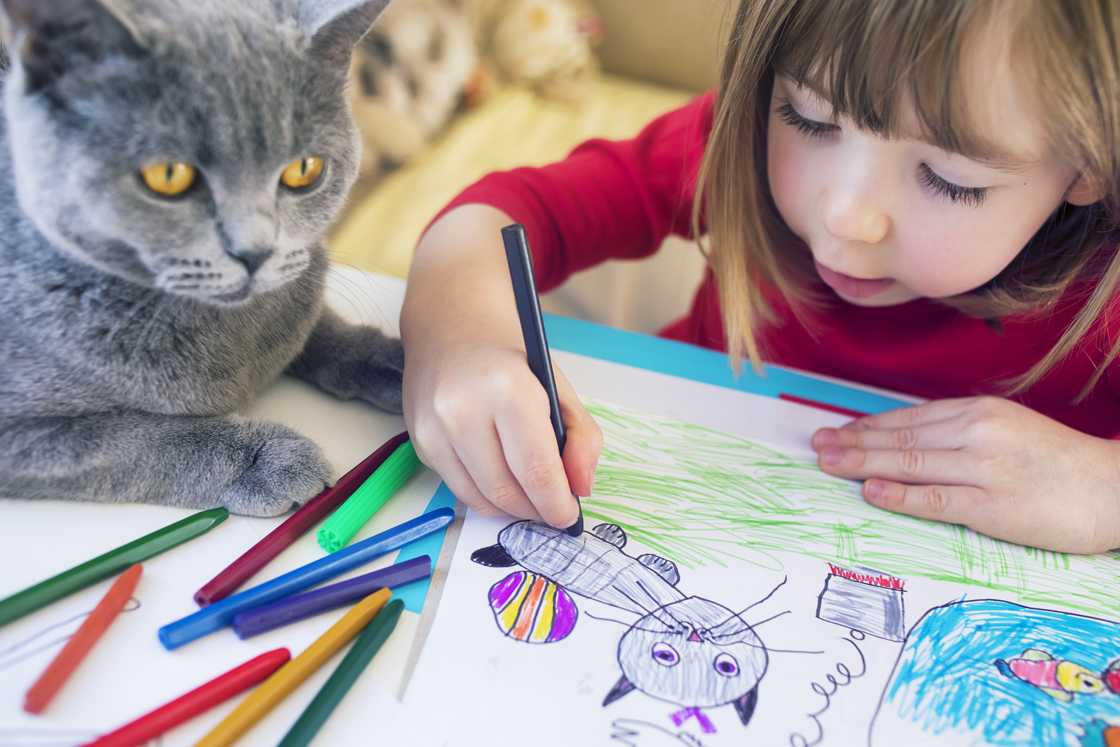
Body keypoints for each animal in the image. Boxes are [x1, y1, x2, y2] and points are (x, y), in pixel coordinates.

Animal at [0, 0, 407, 515]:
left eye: (304, 169)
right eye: (168, 175)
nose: (254, 251)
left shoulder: (298, 286)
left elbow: (321, 329)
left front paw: (398, 365)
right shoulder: (23, 437)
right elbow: (133, 441)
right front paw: (264, 460)